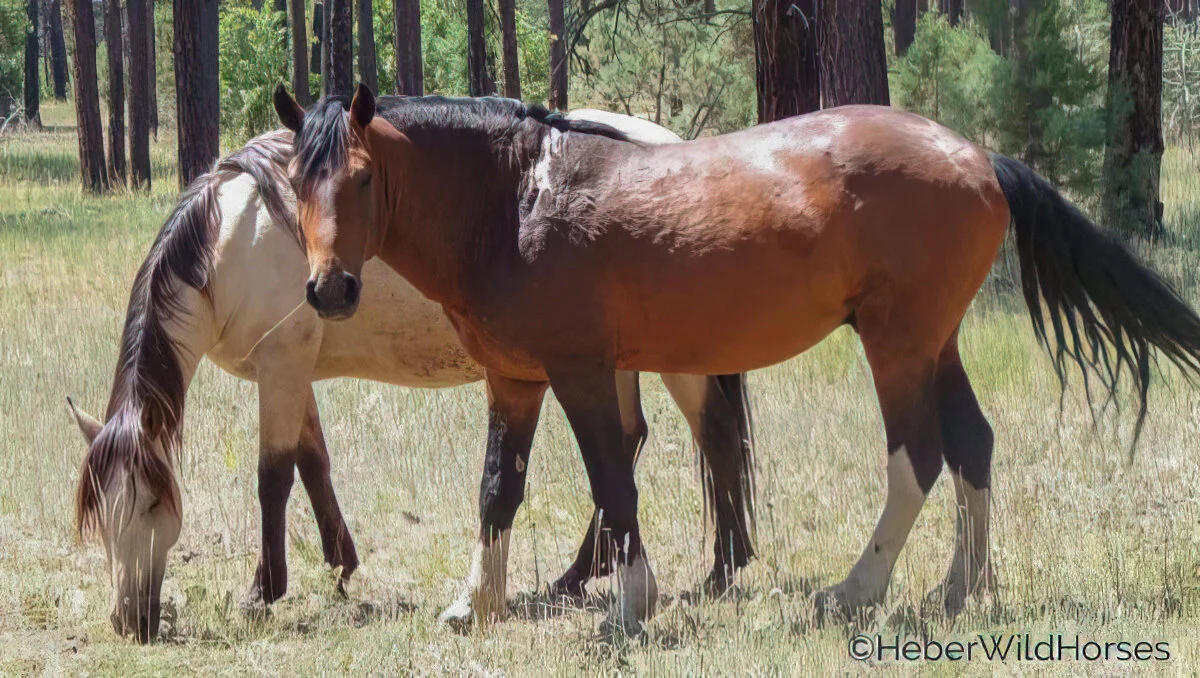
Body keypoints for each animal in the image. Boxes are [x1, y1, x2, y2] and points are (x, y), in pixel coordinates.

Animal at [70, 117, 756, 642]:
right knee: (631, 440)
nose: (129, 622)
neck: (232, 241)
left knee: (714, 434)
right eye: (100, 513)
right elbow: (315, 464)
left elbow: (274, 478)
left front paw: (264, 591)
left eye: (152, 505)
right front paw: (341, 567)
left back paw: (724, 569)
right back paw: (577, 576)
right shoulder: (294, 373)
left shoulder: (281, 368)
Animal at [276, 83, 1200, 635]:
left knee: (919, 457)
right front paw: (477, 604)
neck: (518, 201)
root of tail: (977, 157)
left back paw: (856, 592)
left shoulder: (581, 372)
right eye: (295, 181)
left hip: (898, 342)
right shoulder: (515, 379)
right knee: (973, 445)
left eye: (362, 178)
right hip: (935, 341)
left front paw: (630, 607)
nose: (330, 289)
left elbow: (614, 481)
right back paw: (956, 590)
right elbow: (498, 488)